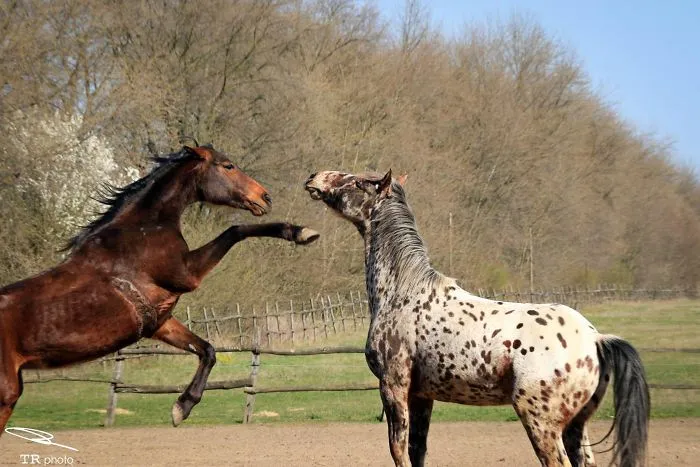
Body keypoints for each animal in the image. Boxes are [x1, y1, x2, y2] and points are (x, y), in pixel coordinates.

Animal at [0, 144, 319, 434]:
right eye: (228, 166)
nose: (265, 197)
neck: (143, 230)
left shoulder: (159, 322)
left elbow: (207, 350)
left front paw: (182, 408)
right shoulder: (187, 275)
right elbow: (235, 230)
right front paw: (301, 232)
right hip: (6, 394)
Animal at [305, 170, 649, 467]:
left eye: (358, 182)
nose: (314, 177)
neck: (404, 291)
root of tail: (594, 338)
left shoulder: (394, 387)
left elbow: (398, 450)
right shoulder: (421, 396)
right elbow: (418, 450)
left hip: (542, 423)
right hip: (577, 426)